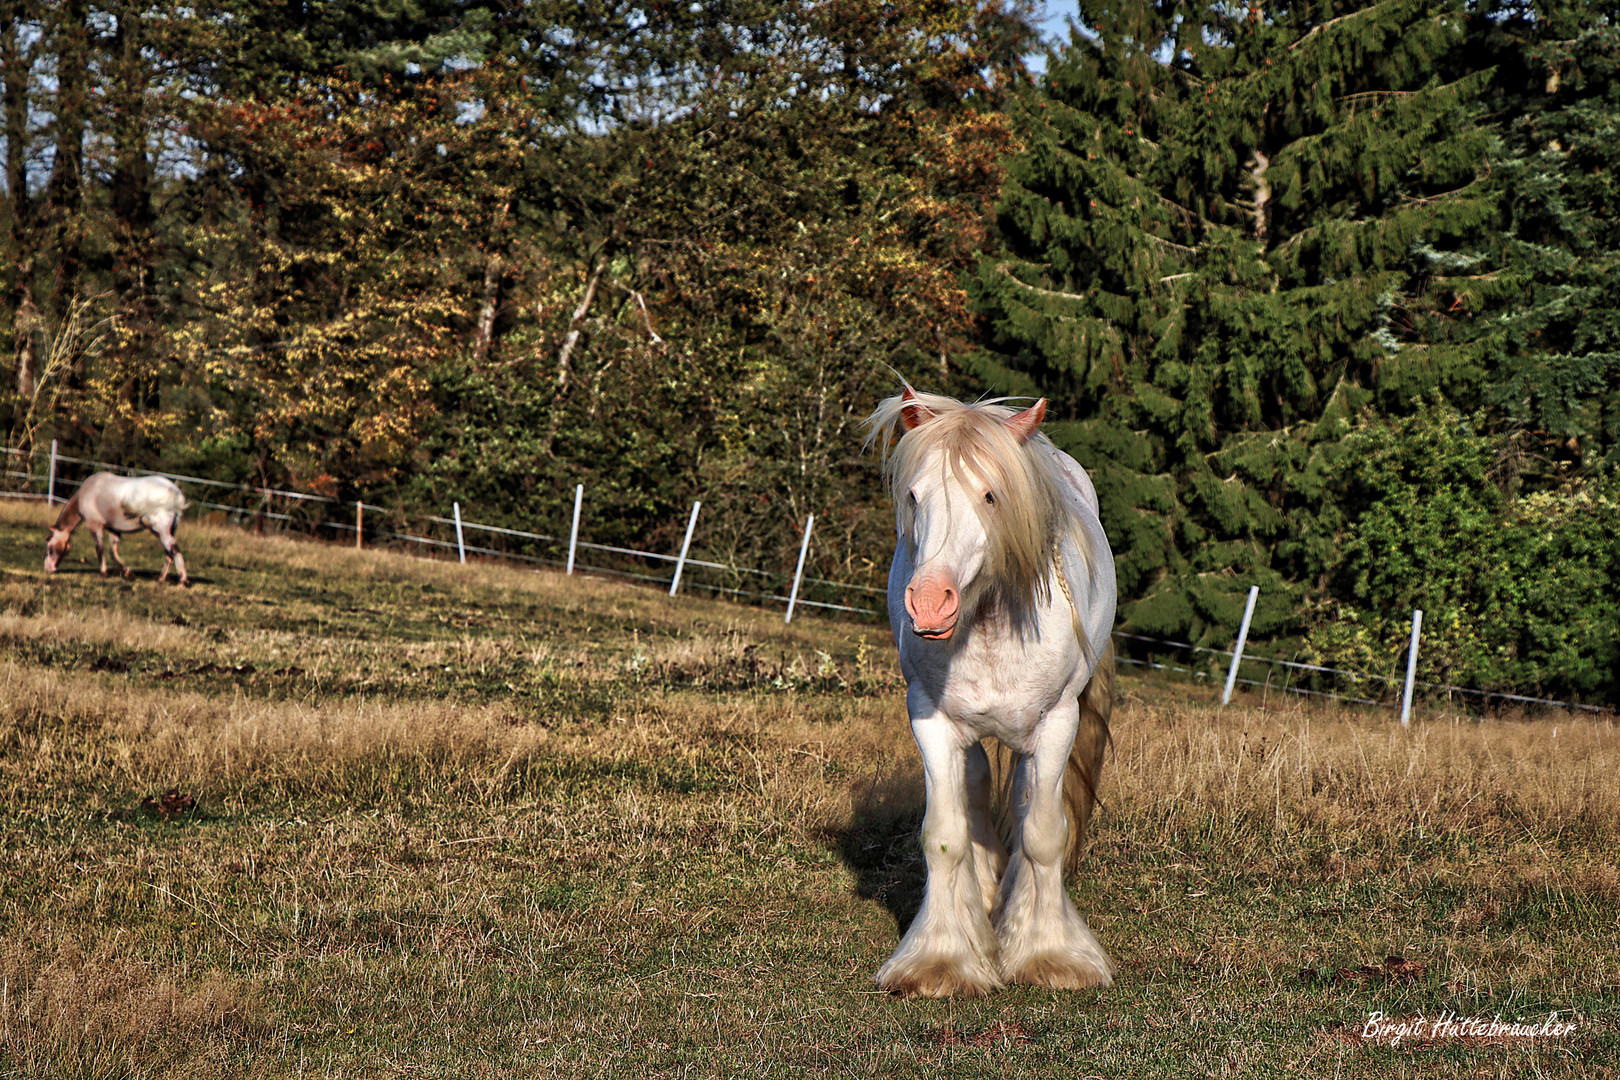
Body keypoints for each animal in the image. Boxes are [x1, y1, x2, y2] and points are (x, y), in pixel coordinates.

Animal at [43, 472, 191, 586]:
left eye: (49, 545)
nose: (48, 567)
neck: (87, 493)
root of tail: (175, 492)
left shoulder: (95, 527)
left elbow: (100, 549)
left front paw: (103, 573)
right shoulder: (114, 529)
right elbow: (113, 553)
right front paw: (128, 573)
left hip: (162, 532)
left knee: (175, 551)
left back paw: (183, 581)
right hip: (168, 532)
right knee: (169, 554)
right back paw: (160, 580)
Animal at [868, 386, 1121, 997]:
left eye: (990, 495)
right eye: (914, 495)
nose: (929, 603)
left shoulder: (1056, 722)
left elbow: (1044, 833)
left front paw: (1051, 956)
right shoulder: (929, 719)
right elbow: (943, 835)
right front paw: (940, 961)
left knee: (1028, 797)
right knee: (979, 783)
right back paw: (984, 893)